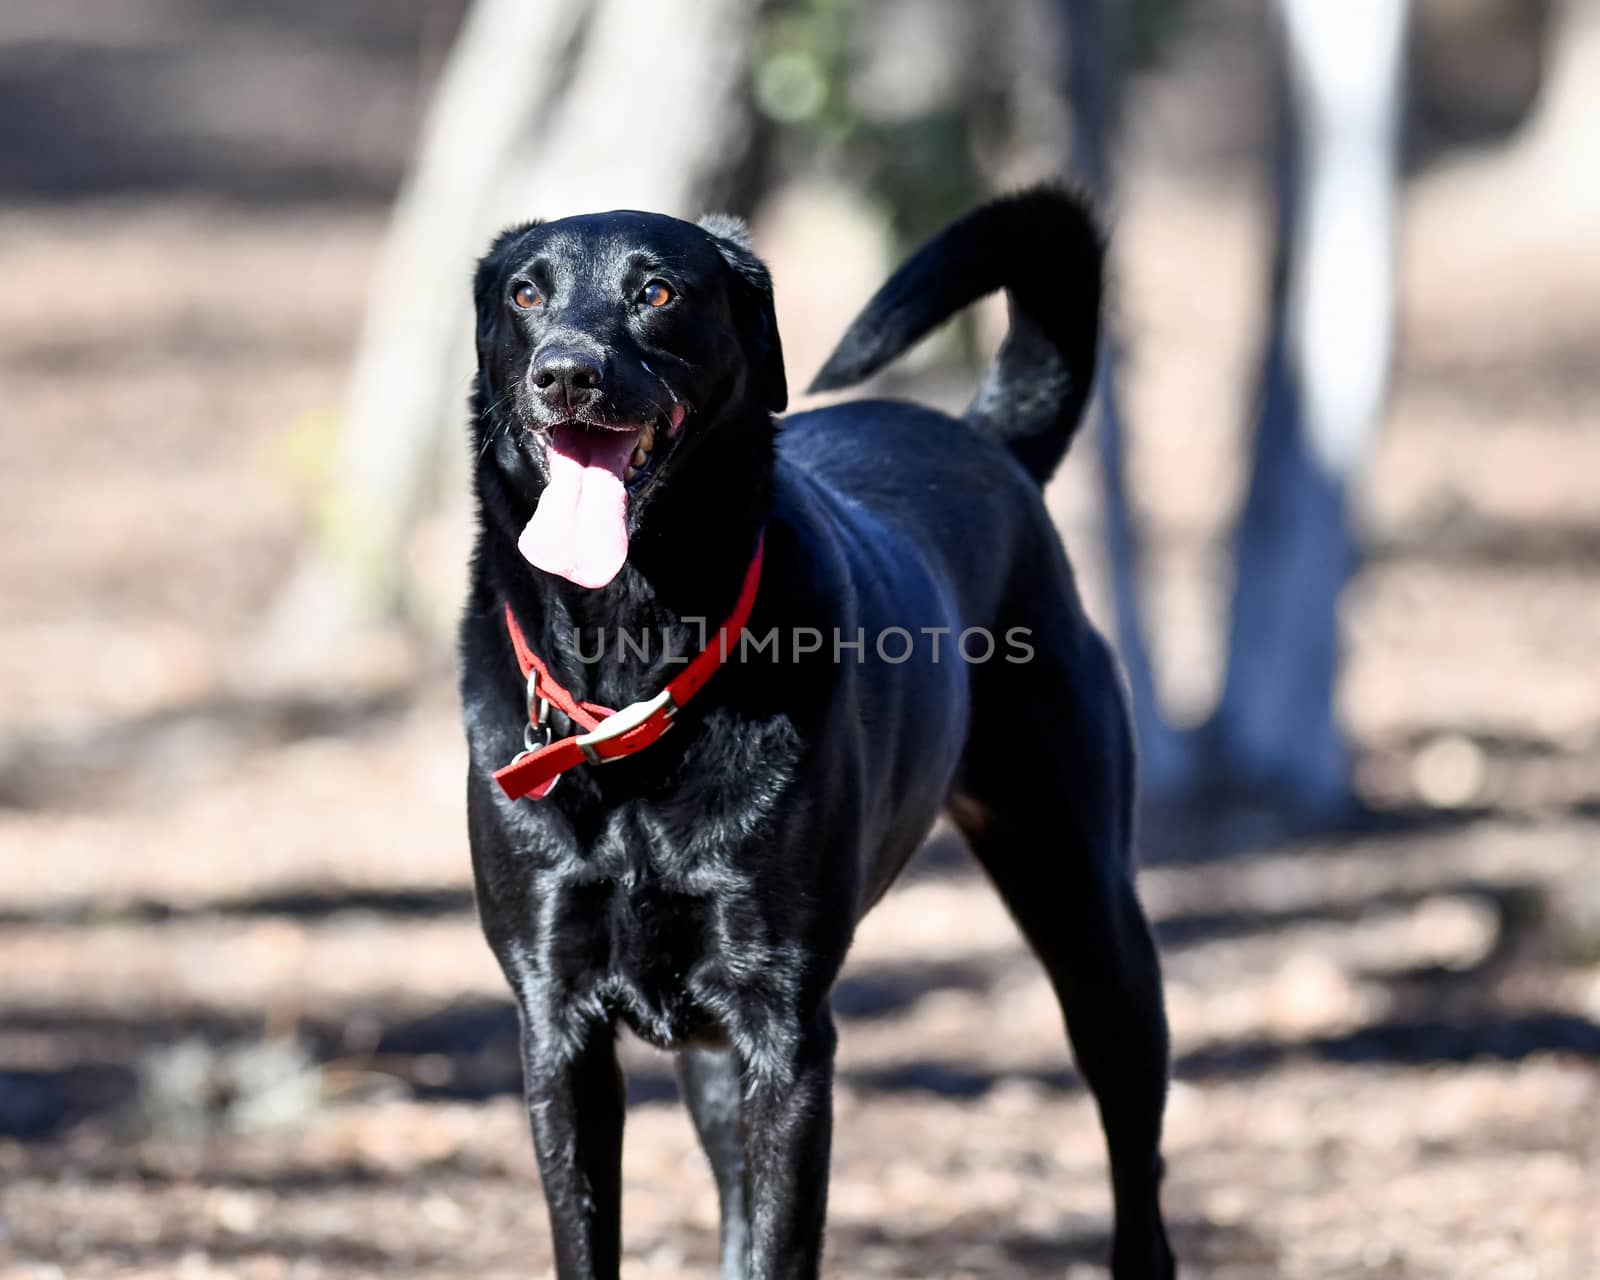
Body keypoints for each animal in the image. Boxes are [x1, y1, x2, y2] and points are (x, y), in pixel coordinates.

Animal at [464, 184, 1177, 1273]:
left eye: (657, 291)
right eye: (526, 293)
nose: (568, 371)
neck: (636, 679)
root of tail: (989, 443)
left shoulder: (788, 1033)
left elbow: (779, 1247)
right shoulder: (558, 1029)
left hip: (1090, 917)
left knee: (1136, 1166)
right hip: (708, 1052)